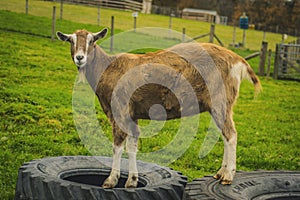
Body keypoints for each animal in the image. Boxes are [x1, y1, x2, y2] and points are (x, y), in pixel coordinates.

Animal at [56, 28, 260, 188]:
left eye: (92, 41)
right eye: (71, 41)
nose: (80, 58)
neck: (107, 68)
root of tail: (238, 60)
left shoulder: (119, 111)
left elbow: (117, 146)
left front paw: (110, 181)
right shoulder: (132, 114)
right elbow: (132, 146)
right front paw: (132, 181)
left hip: (220, 102)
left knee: (231, 135)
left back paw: (228, 176)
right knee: (225, 136)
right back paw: (220, 173)